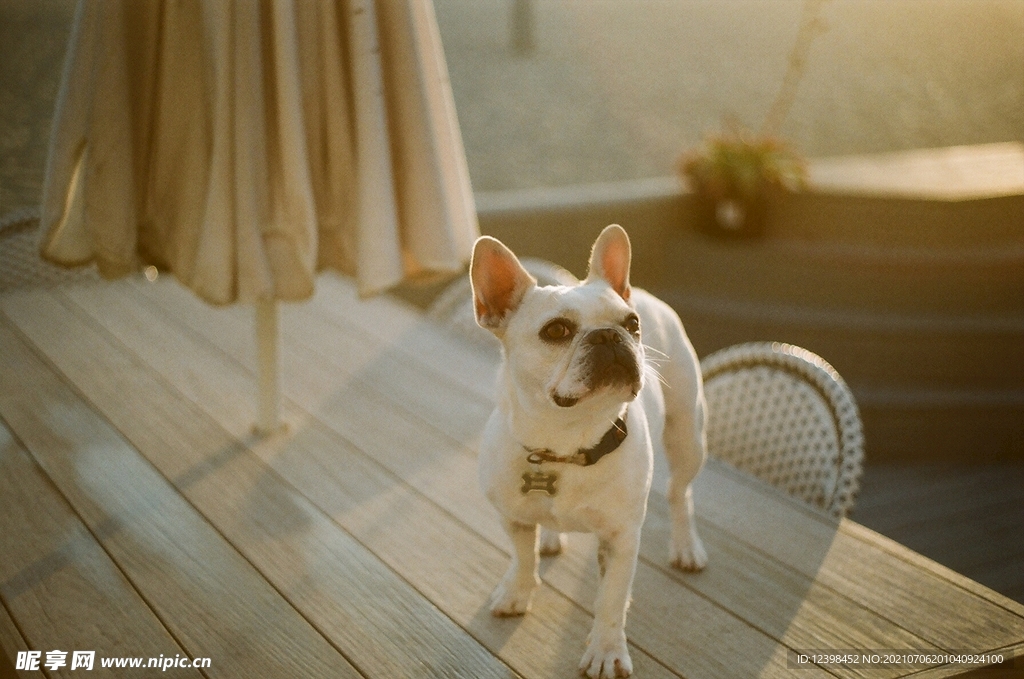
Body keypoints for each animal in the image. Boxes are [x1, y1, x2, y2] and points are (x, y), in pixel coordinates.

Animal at [468, 225, 704, 675]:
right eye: (556, 331)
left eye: (632, 324)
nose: (609, 334)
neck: (566, 443)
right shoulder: (513, 517)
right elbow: (522, 558)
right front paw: (517, 592)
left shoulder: (620, 537)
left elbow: (611, 599)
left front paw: (607, 651)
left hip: (688, 436)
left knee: (680, 493)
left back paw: (686, 546)